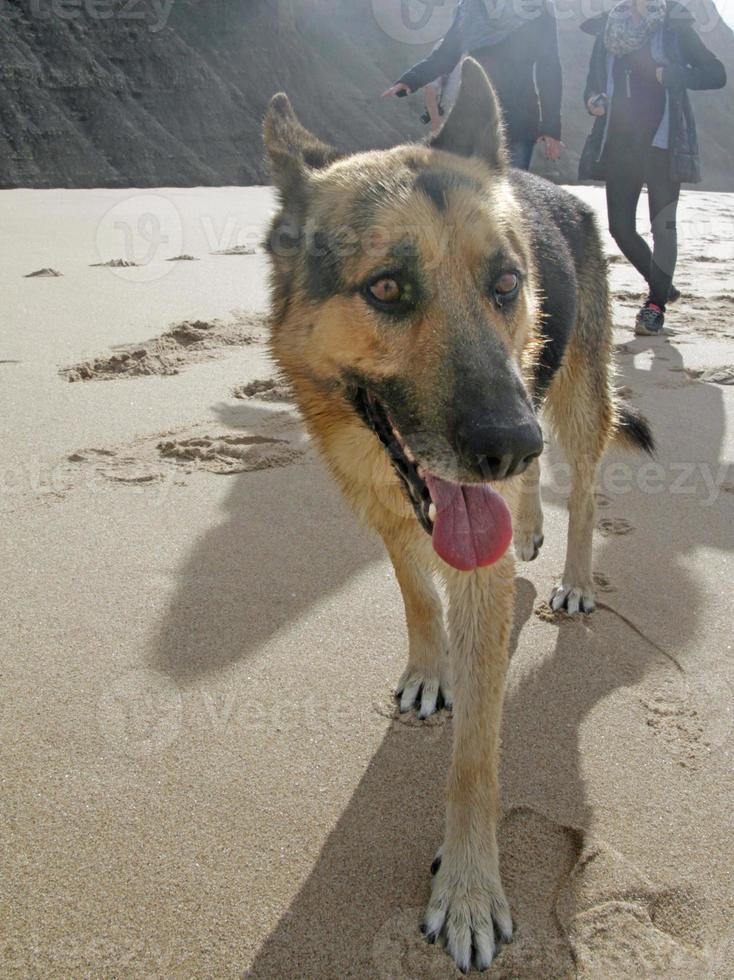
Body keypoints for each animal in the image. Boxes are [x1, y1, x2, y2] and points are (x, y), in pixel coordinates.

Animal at [264, 61, 656, 972]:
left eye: (505, 284)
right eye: (387, 288)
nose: (507, 446)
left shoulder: (480, 564)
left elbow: (476, 754)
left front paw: (471, 888)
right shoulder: (385, 509)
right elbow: (417, 594)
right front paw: (428, 668)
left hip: (571, 397)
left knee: (586, 484)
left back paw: (575, 575)